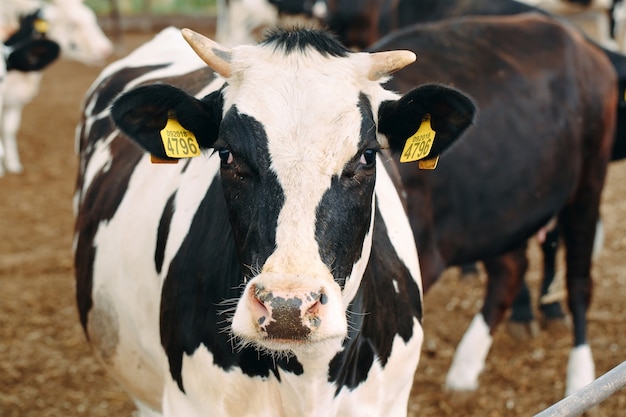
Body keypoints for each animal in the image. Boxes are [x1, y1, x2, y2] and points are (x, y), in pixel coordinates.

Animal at [0, 0, 112, 175]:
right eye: (73, 24)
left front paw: (13, 165)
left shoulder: (14, 100)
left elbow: (9, 129)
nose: (106, 50)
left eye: (92, 17)